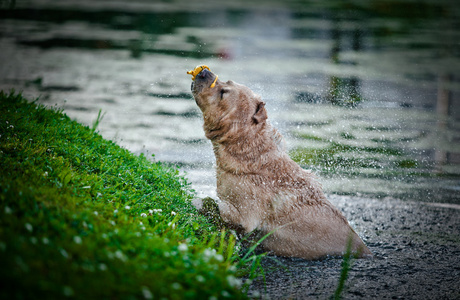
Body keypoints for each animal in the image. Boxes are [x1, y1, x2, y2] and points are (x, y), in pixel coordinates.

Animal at [191, 68, 374, 260]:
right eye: (227, 81)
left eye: (223, 92)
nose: (204, 71)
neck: (247, 152)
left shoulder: (246, 212)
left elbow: (215, 205)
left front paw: (196, 202)